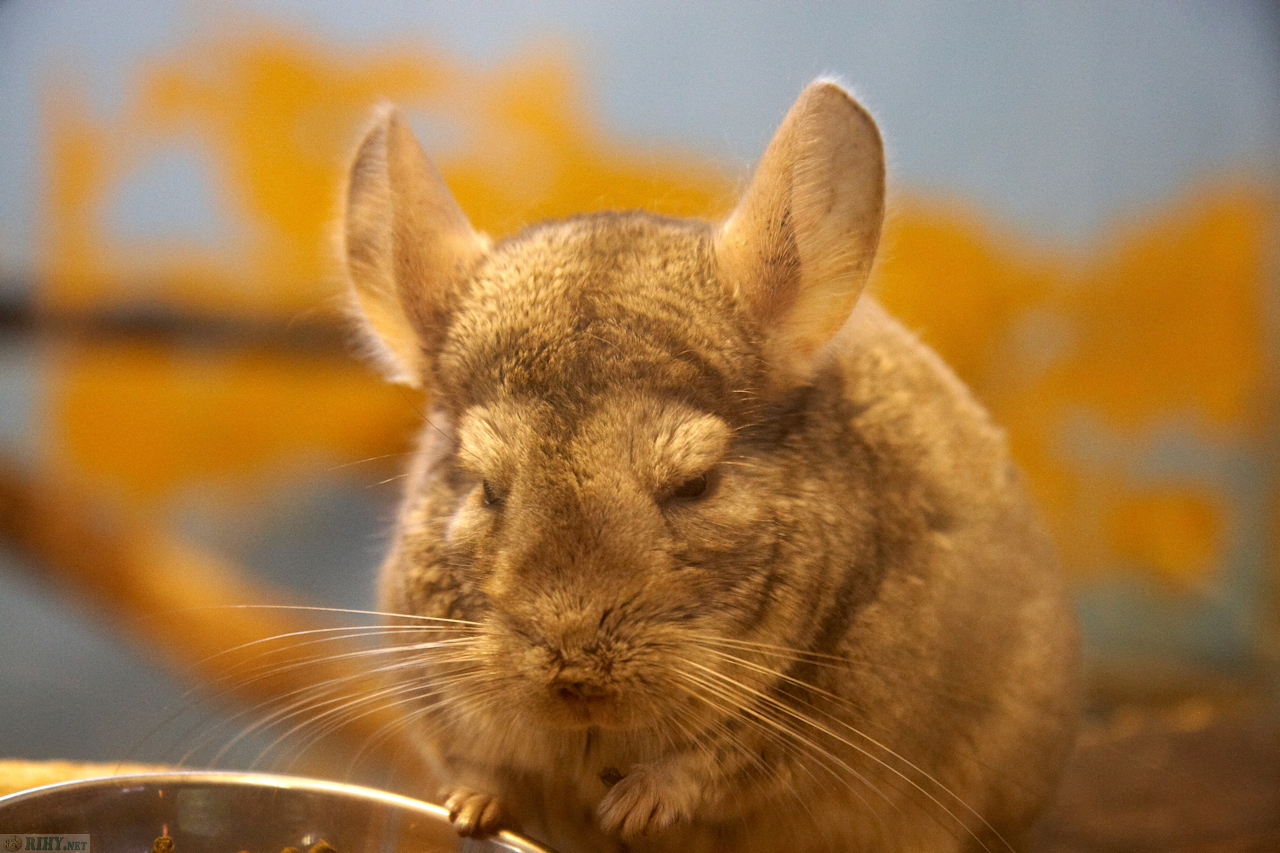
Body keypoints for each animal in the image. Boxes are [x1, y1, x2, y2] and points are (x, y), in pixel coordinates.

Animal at [337, 79, 1079, 853]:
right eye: (485, 487)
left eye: (697, 484)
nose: (574, 666)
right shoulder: (432, 692)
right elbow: (478, 764)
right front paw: (468, 809)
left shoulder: (805, 718)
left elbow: (709, 764)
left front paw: (629, 809)